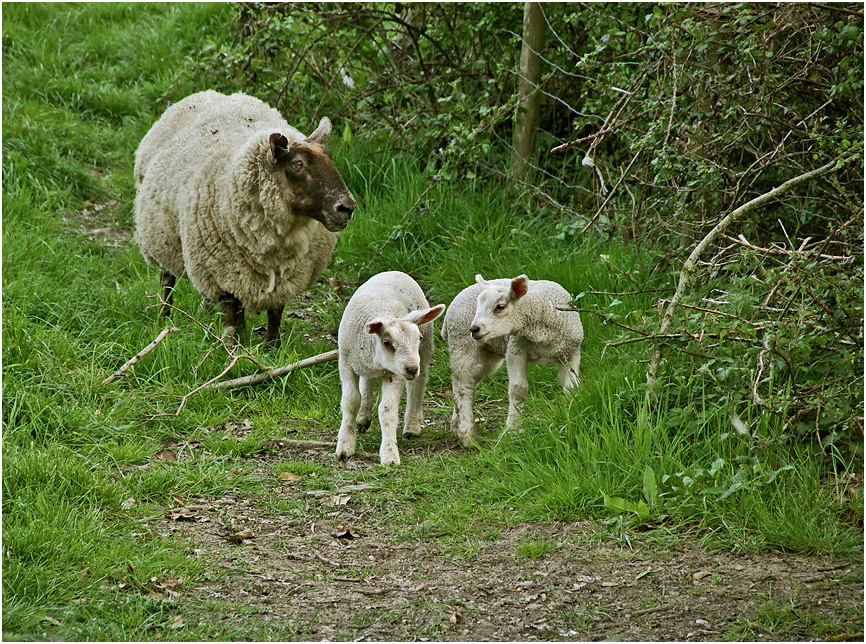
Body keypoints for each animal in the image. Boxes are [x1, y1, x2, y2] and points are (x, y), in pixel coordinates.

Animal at [132, 89, 354, 348]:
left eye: (330, 158)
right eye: (298, 164)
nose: (347, 207)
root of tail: (206, 92)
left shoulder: (283, 278)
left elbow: (275, 314)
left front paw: (272, 348)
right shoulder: (220, 275)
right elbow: (230, 316)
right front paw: (233, 348)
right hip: (162, 237)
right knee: (166, 280)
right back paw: (164, 316)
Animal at [336, 270, 446, 466]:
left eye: (418, 337)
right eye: (387, 342)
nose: (411, 369)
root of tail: (394, 271)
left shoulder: (394, 374)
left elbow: (387, 410)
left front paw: (389, 455)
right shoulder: (346, 363)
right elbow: (351, 401)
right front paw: (345, 446)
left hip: (423, 353)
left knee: (417, 385)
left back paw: (412, 425)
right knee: (367, 380)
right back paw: (363, 417)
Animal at [438, 272, 580, 448]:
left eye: (500, 306)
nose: (474, 329)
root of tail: (449, 312)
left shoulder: (571, 352)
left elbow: (572, 388)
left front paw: (569, 414)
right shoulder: (515, 349)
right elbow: (518, 390)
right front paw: (512, 430)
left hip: (488, 354)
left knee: (470, 382)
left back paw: (456, 425)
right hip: (462, 344)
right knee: (463, 387)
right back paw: (468, 436)